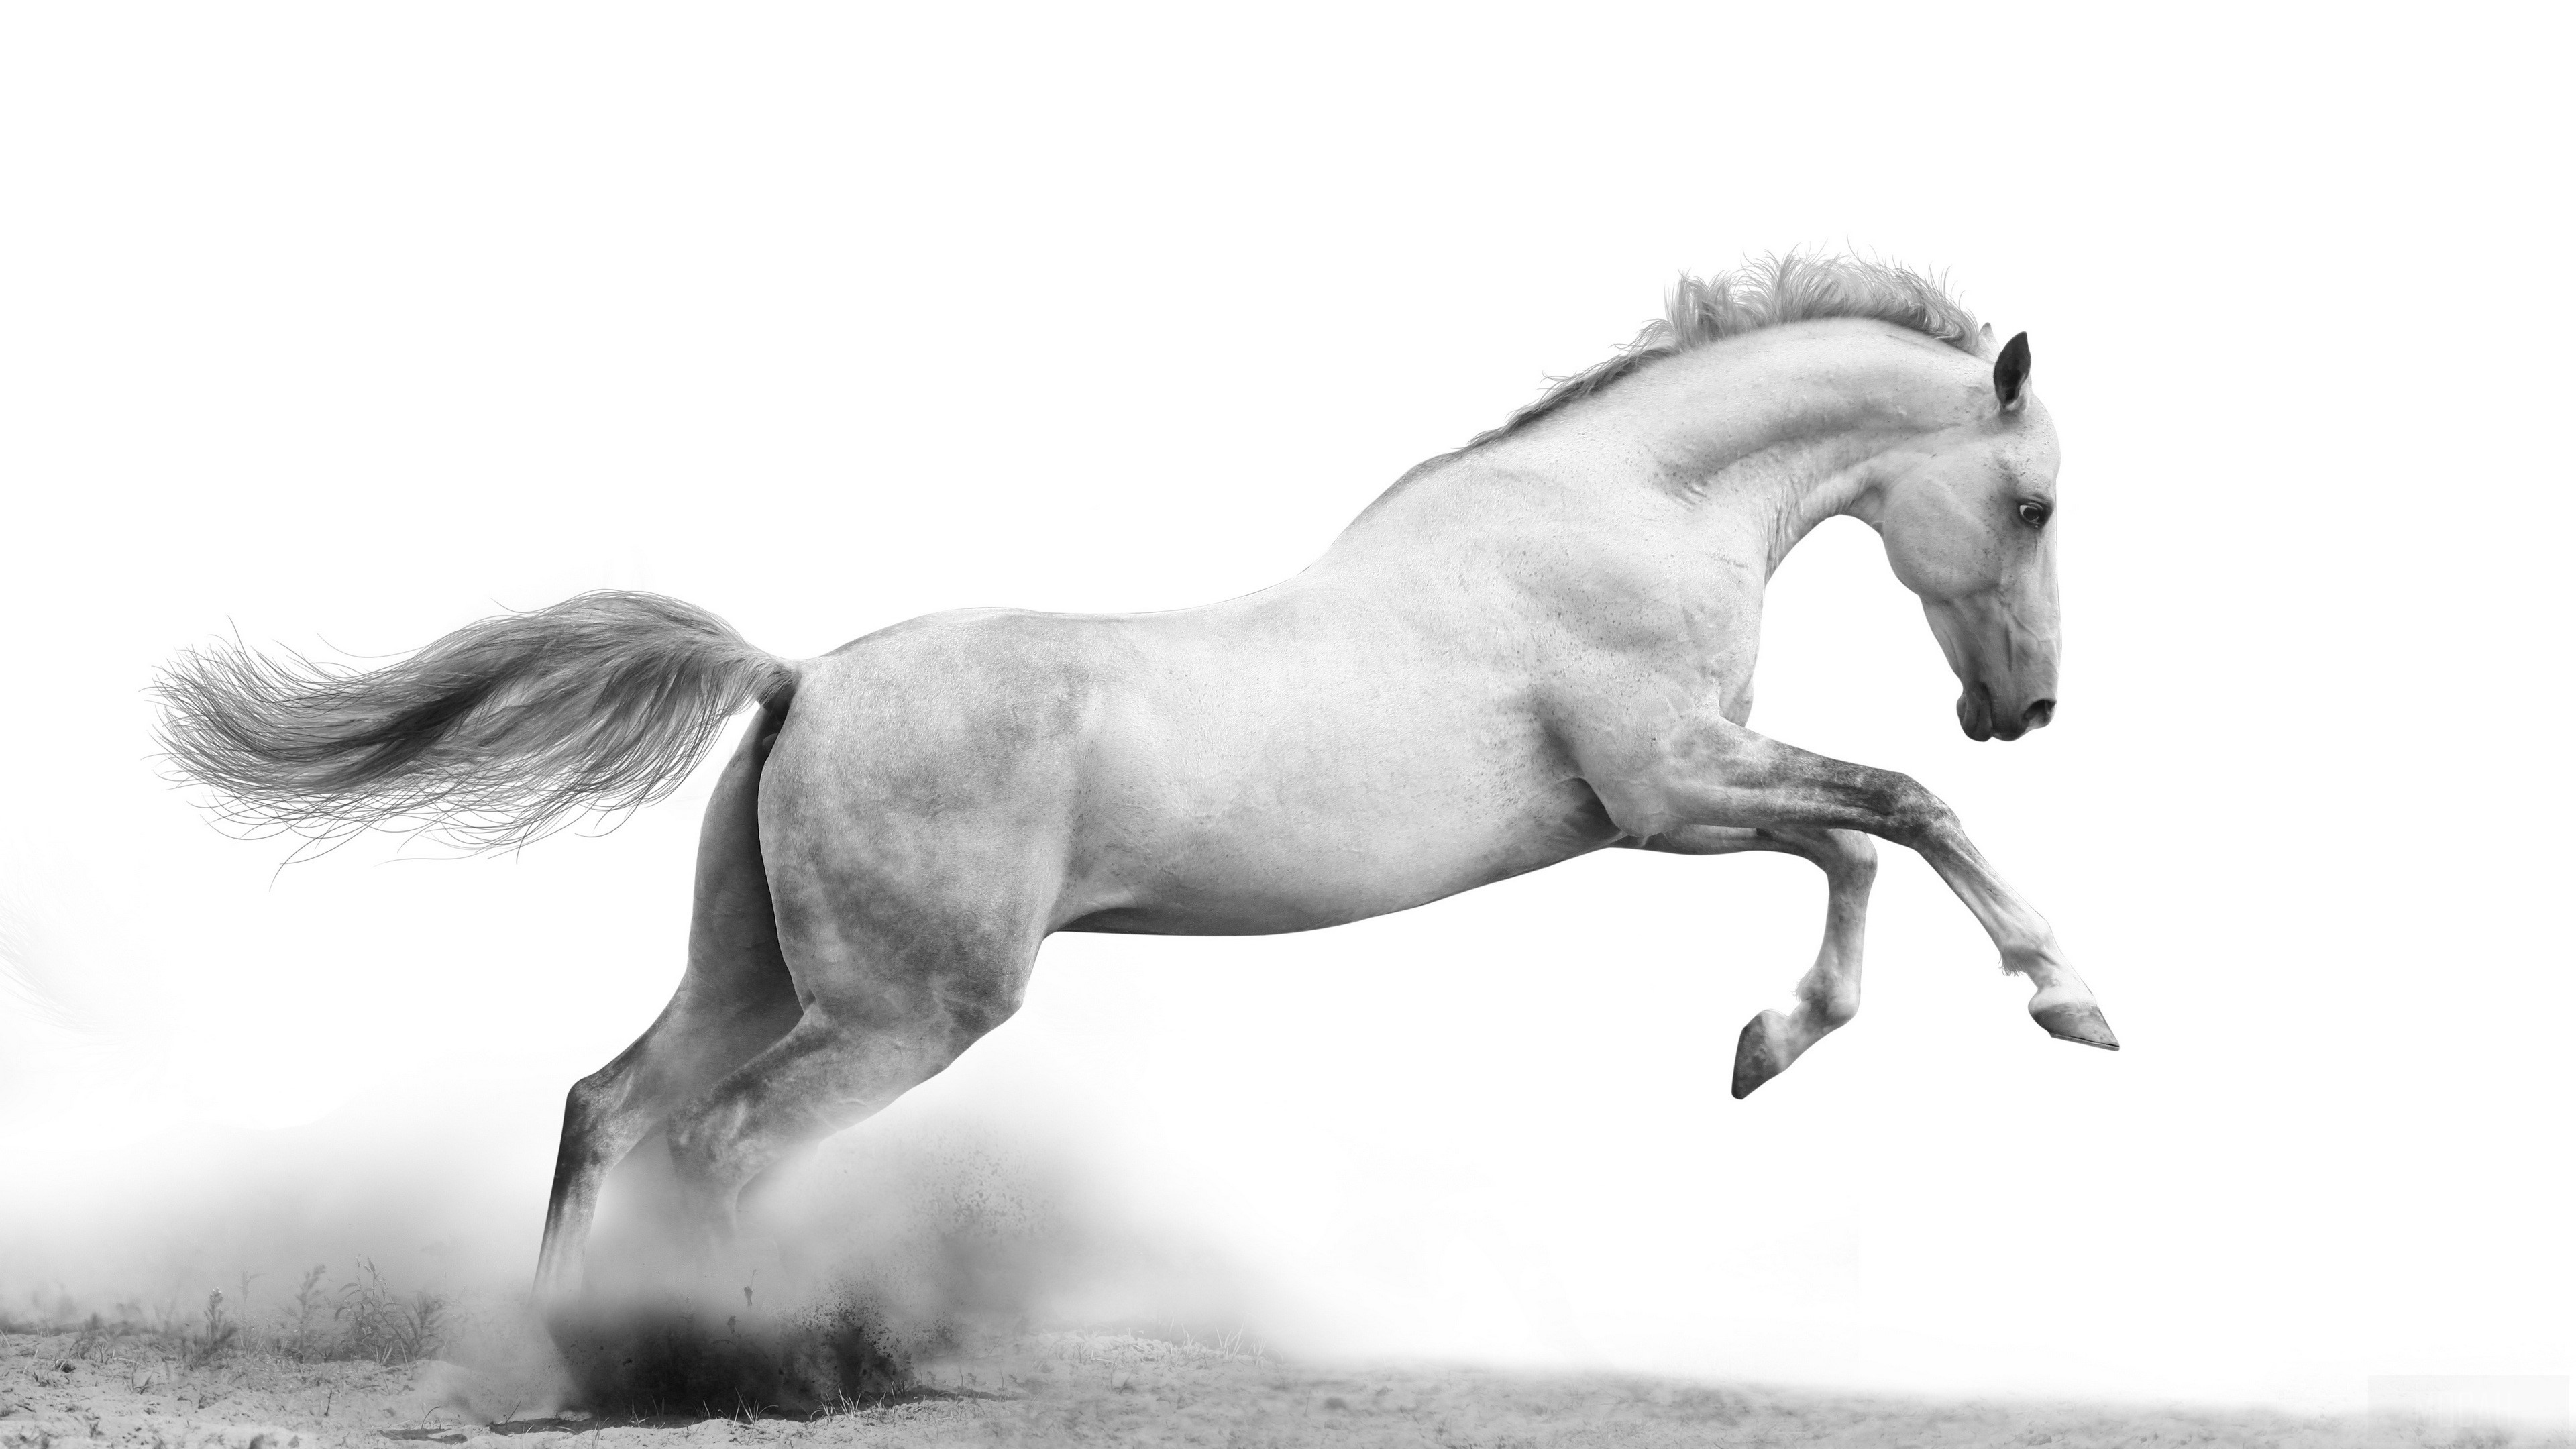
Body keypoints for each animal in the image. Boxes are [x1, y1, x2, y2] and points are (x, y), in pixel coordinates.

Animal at [153, 252, 2115, 1307]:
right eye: (2031, 504)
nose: (2021, 708)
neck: (1622, 507)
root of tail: (797, 679)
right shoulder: (1667, 786)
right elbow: (1898, 815)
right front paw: (2068, 999)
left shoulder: (1674, 805)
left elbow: (1858, 849)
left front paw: (1768, 1045)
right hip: (901, 1015)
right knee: (721, 1147)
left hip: (756, 975)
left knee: (609, 1108)